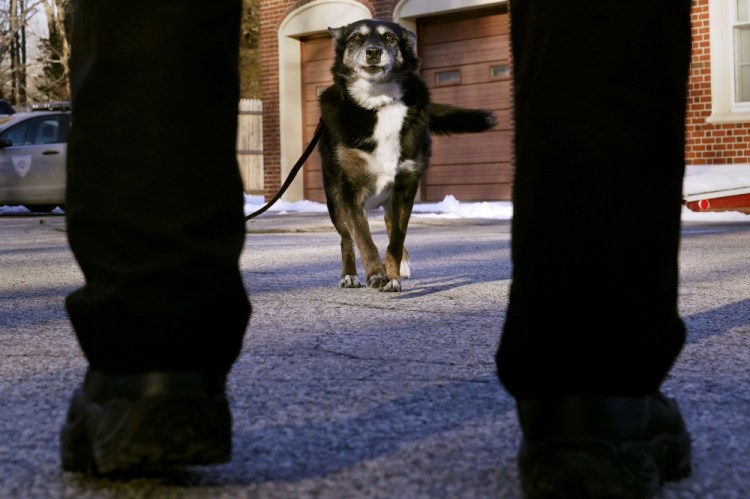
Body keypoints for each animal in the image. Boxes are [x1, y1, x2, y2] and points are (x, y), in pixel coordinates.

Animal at [318, 20, 500, 292]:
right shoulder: (350, 190)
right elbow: (363, 238)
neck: (379, 103)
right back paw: (349, 275)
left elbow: (396, 238)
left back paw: (399, 265)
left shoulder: (406, 185)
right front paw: (376, 273)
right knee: (346, 239)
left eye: (390, 38)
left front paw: (392, 274)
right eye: (357, 38)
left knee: (389, 225)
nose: (373, 52)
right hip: (334, 199)